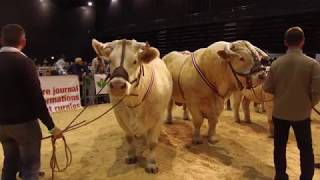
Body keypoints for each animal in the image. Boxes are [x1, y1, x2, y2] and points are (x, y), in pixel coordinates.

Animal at [92, 39, 172, 173]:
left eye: (135, 61)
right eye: (110, 61)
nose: (117, 86)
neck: (134, 102)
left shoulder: (157, 118)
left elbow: (152, 143)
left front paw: (151, 164)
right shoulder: (120, 117)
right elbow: (129, 138)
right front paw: (131, 155)